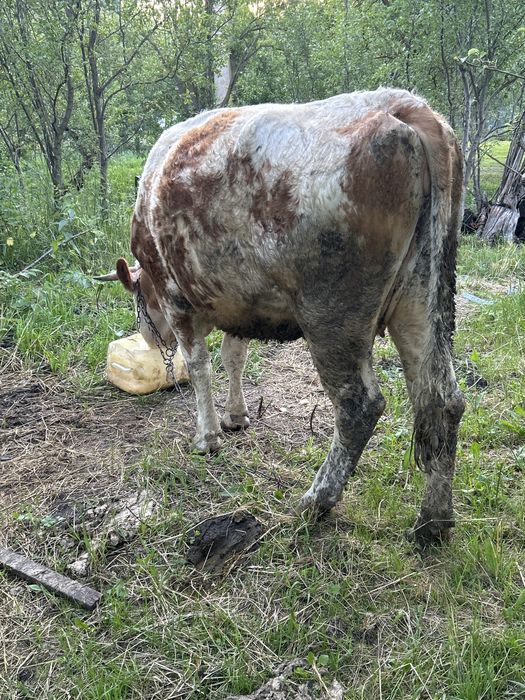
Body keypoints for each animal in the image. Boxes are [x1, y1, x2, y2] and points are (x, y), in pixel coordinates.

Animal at [97, 88, 465, 544]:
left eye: (138, 297)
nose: (149, 337)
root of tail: (403, 108)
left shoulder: (175, 297)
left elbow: (200, 366)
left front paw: (208, 436)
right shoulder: (240, 303)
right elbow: (234, 357)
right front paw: (236, 417)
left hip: (332, 317)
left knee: (359, 405)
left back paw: (315, 501)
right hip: (421, 298)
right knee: (442, 399)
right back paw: (433, 522)